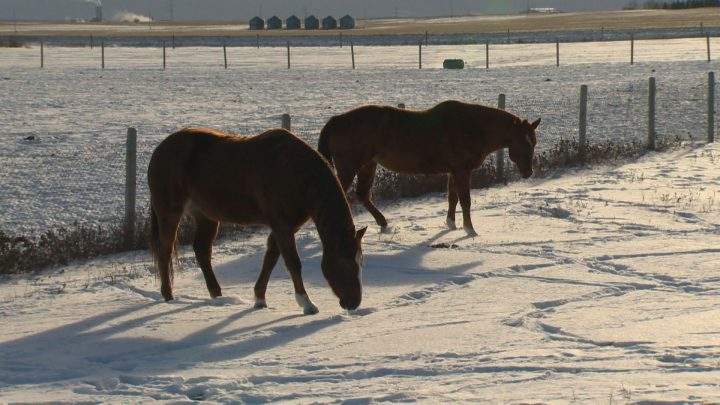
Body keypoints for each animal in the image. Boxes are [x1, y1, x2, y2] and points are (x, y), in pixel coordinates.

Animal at [148, 127, 367, 314]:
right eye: (345, 263)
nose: (354, 302)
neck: (293, 172)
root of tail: (160, 150)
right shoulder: (282, 226)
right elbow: (292, 263)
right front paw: (306, 303)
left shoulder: (285, 227)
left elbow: (270, 258)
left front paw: (260, 299)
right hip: (169, 212)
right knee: (165, 250)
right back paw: (168, 296)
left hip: (205, 216)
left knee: (201, 251)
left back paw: (217, 296)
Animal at [318, 100, 540, 236]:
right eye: (524, 142)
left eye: (534, 142)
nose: (528, 172)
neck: (472, 126)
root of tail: (336, 120)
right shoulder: (462, 171)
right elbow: (465, 200)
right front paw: (470, 230)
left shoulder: (453, 171)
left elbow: (452, 197)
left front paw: (451, 224)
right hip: (349, 168)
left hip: (367, 165)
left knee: (363, 195)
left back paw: (383, 223)